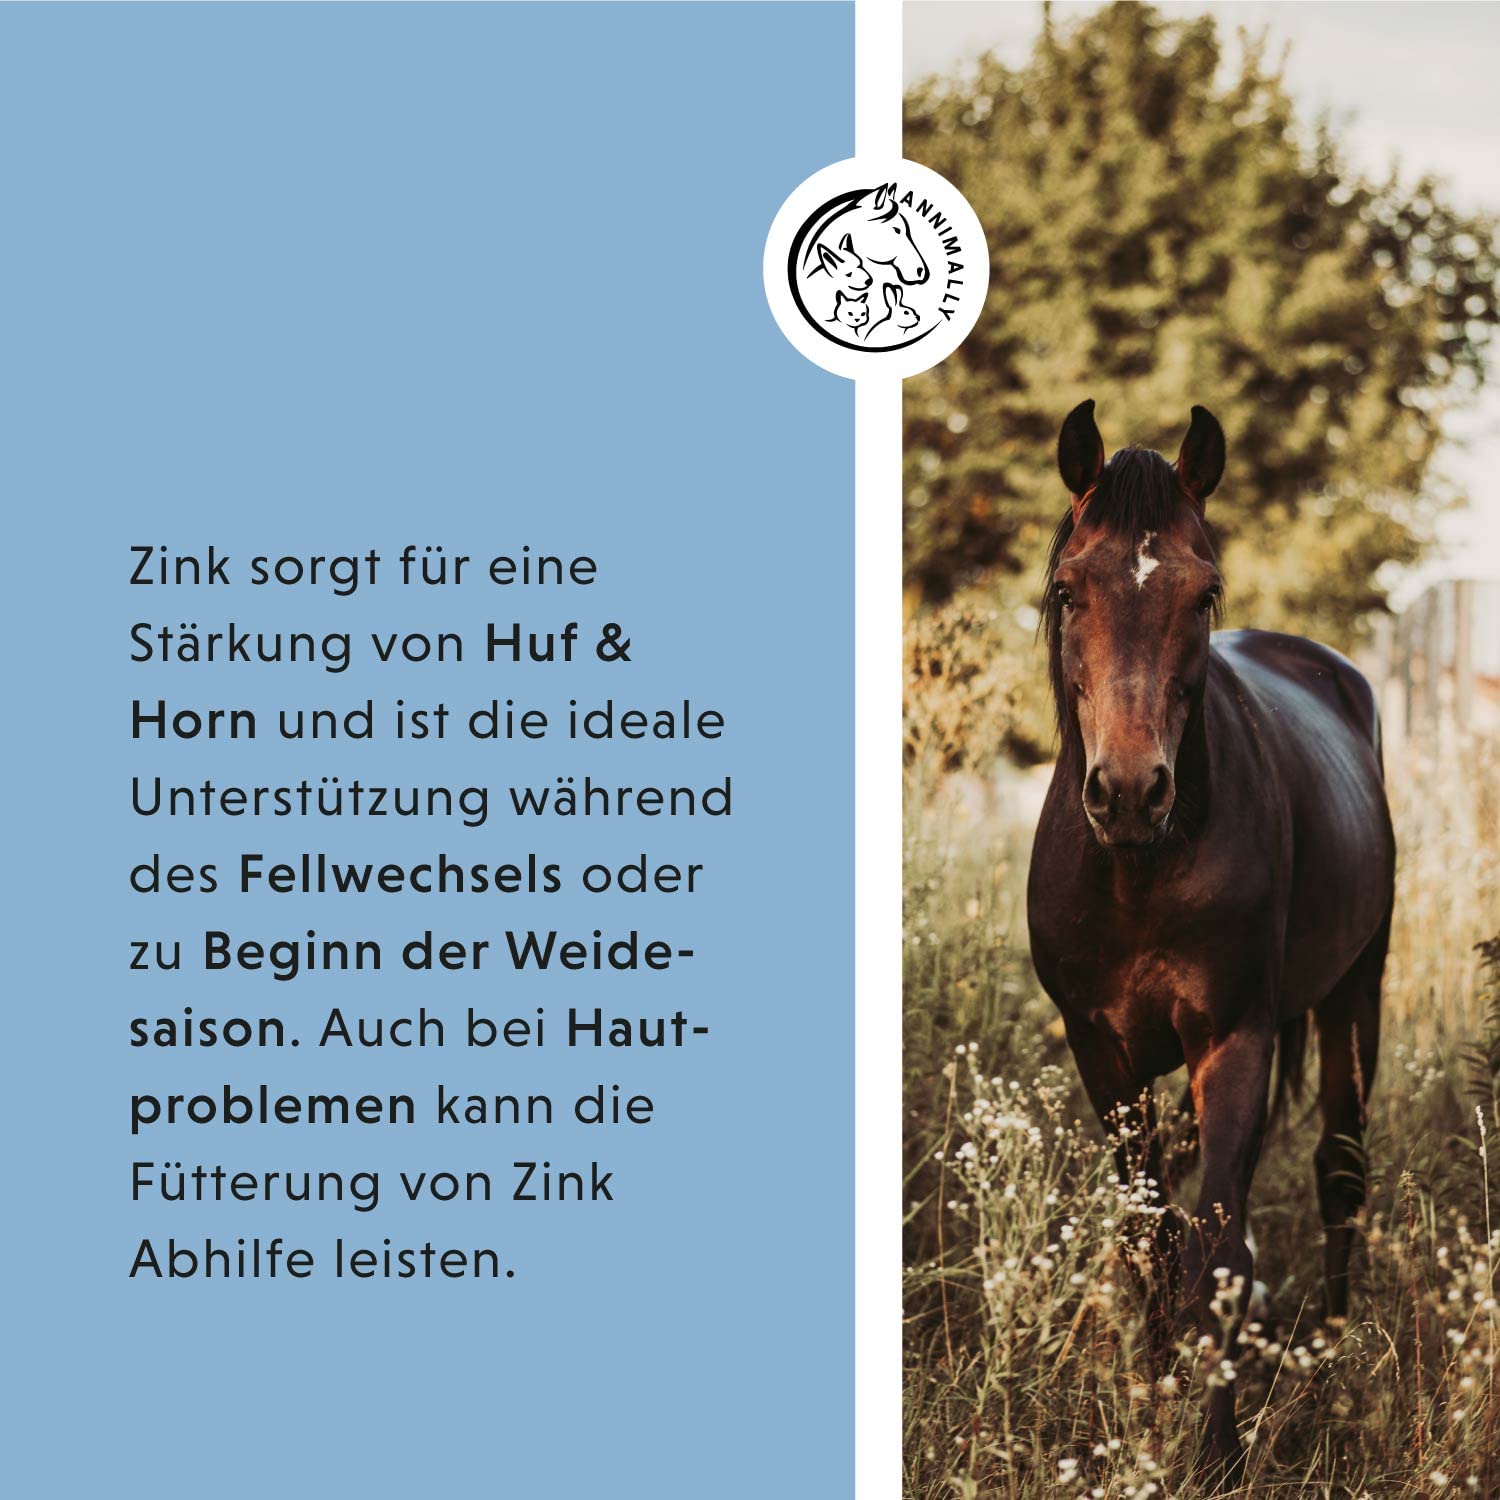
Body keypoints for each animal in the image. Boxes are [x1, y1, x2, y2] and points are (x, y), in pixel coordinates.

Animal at [1025, 399, 1396, 1477]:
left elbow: (1219, 1251)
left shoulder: (1235, 1040)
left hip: (1355, 993)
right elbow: (1150, 1238)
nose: (1130, 791)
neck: (1139, 871)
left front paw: (1219, 1452)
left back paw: (1331, 1361)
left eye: (1205, 592)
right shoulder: (1101, 1054)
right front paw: (1153, 1401)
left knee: (1340, 1173)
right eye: (1068, 588)